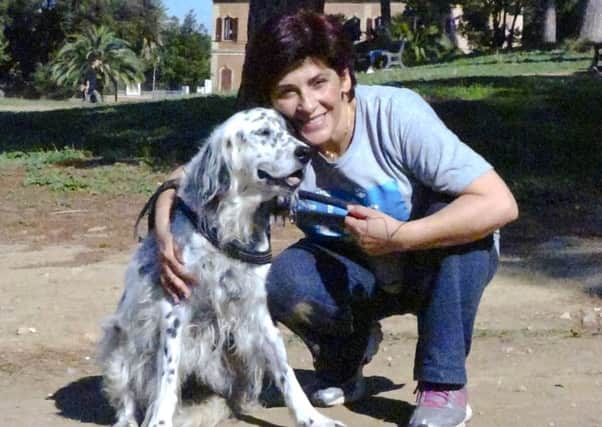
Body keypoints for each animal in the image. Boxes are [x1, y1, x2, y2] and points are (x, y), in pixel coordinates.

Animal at [98, 108, 342, 427]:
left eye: (288, 130)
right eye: (263, 132)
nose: (306, 152)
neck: (230, 226)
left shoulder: (257, 309)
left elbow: (285, 371)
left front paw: (311, 418)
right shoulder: (175, 308)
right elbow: (167, 378)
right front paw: (159, 420)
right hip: (119, 340)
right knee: (127, 397)